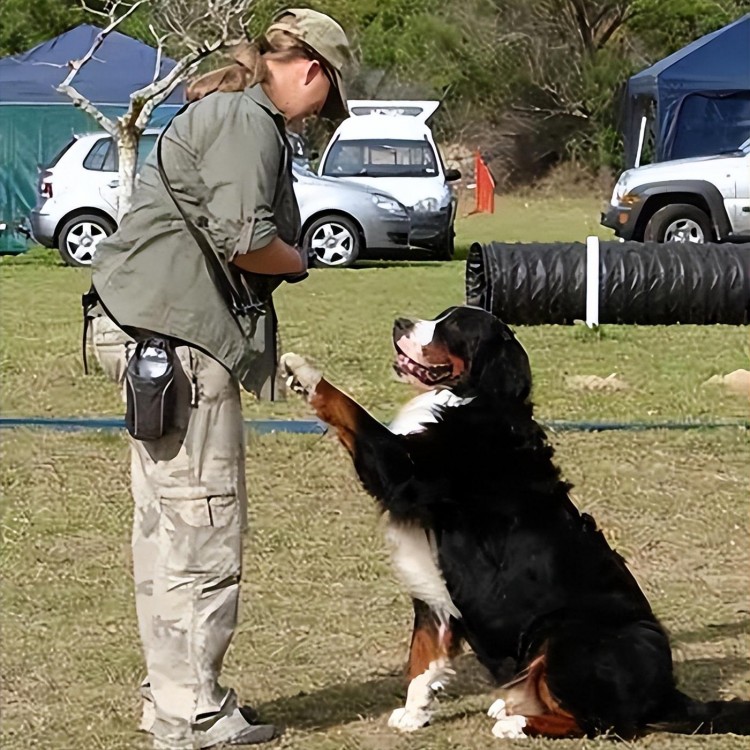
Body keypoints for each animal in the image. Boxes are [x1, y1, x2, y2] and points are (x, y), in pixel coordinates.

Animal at [282, 306, 750, 740]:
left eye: (453, 327)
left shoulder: (403, 469)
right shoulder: (434, 588)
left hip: (567, 637)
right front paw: (414, 713)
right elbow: (423, 656)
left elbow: (351, 410)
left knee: (601, 722)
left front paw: (304, 372)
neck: (472, 402)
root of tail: (666, 691)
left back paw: (516, 721)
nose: (400, 323)